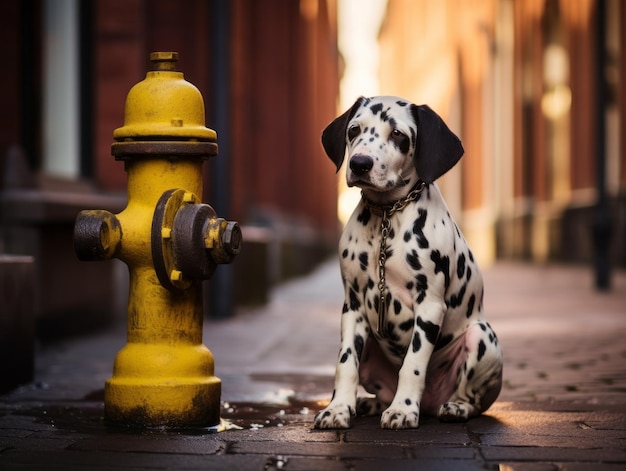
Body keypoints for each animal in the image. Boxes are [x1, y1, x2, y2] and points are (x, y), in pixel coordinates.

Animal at [312, 97, 502, 432]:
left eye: (399, 134)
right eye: (354, 130)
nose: (360, 163)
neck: (388, 216)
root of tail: (432, 404)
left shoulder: (430, 306)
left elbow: (412, 364)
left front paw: (402, 410)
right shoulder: (353, 307)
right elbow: (345, 362)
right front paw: (337, 408)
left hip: (482, 338)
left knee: (473, 398)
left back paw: (455, 407)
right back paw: (371, 403)